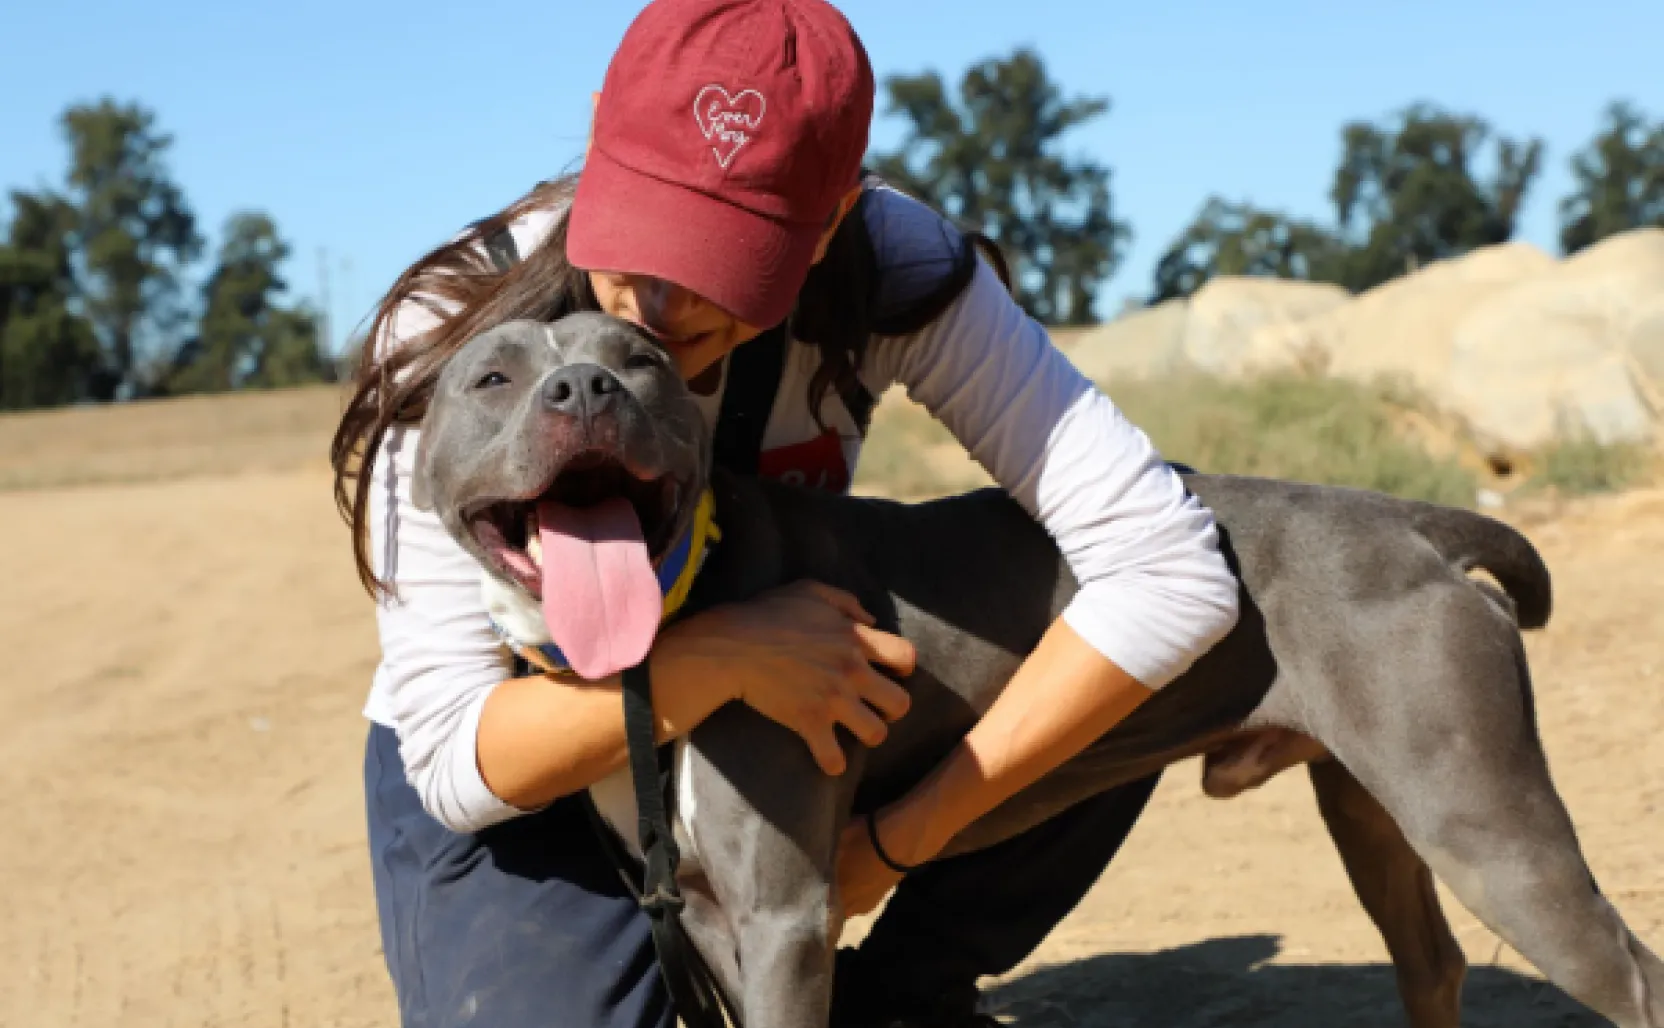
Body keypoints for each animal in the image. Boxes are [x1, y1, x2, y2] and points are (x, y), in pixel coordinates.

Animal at [406, 314, 1664, 1024]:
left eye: (640, 362)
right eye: (491, 378)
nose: (585, 390)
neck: (671, 615)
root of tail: (1409, 519)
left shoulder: (780, 915)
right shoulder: (712, 919)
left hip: (1486, 829)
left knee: (1629, 972)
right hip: (1371, 805)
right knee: (1432, 962)